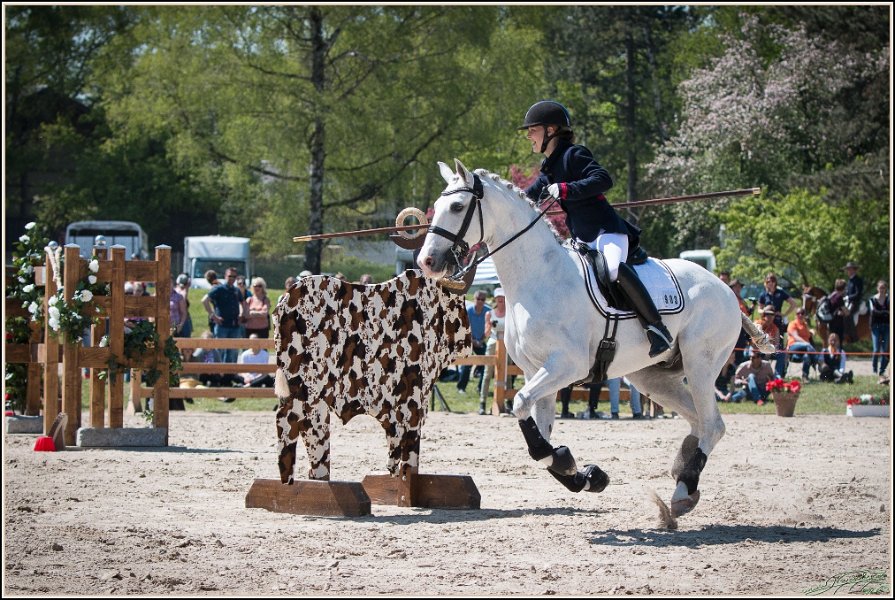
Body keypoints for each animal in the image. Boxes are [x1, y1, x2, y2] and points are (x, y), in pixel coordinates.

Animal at [417, 159, 775, 522]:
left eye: (457, 206)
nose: (426, 262)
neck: (539, 276)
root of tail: (726, 290)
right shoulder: (536, 371)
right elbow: (539, 436)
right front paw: (585, 475)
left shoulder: (567, 365)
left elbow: (520, 404)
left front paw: (571, 465)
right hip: (653, 378)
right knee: (698, 422)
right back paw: (684, 485)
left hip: (700, 364)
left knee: (713, 425)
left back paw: (682, 491)